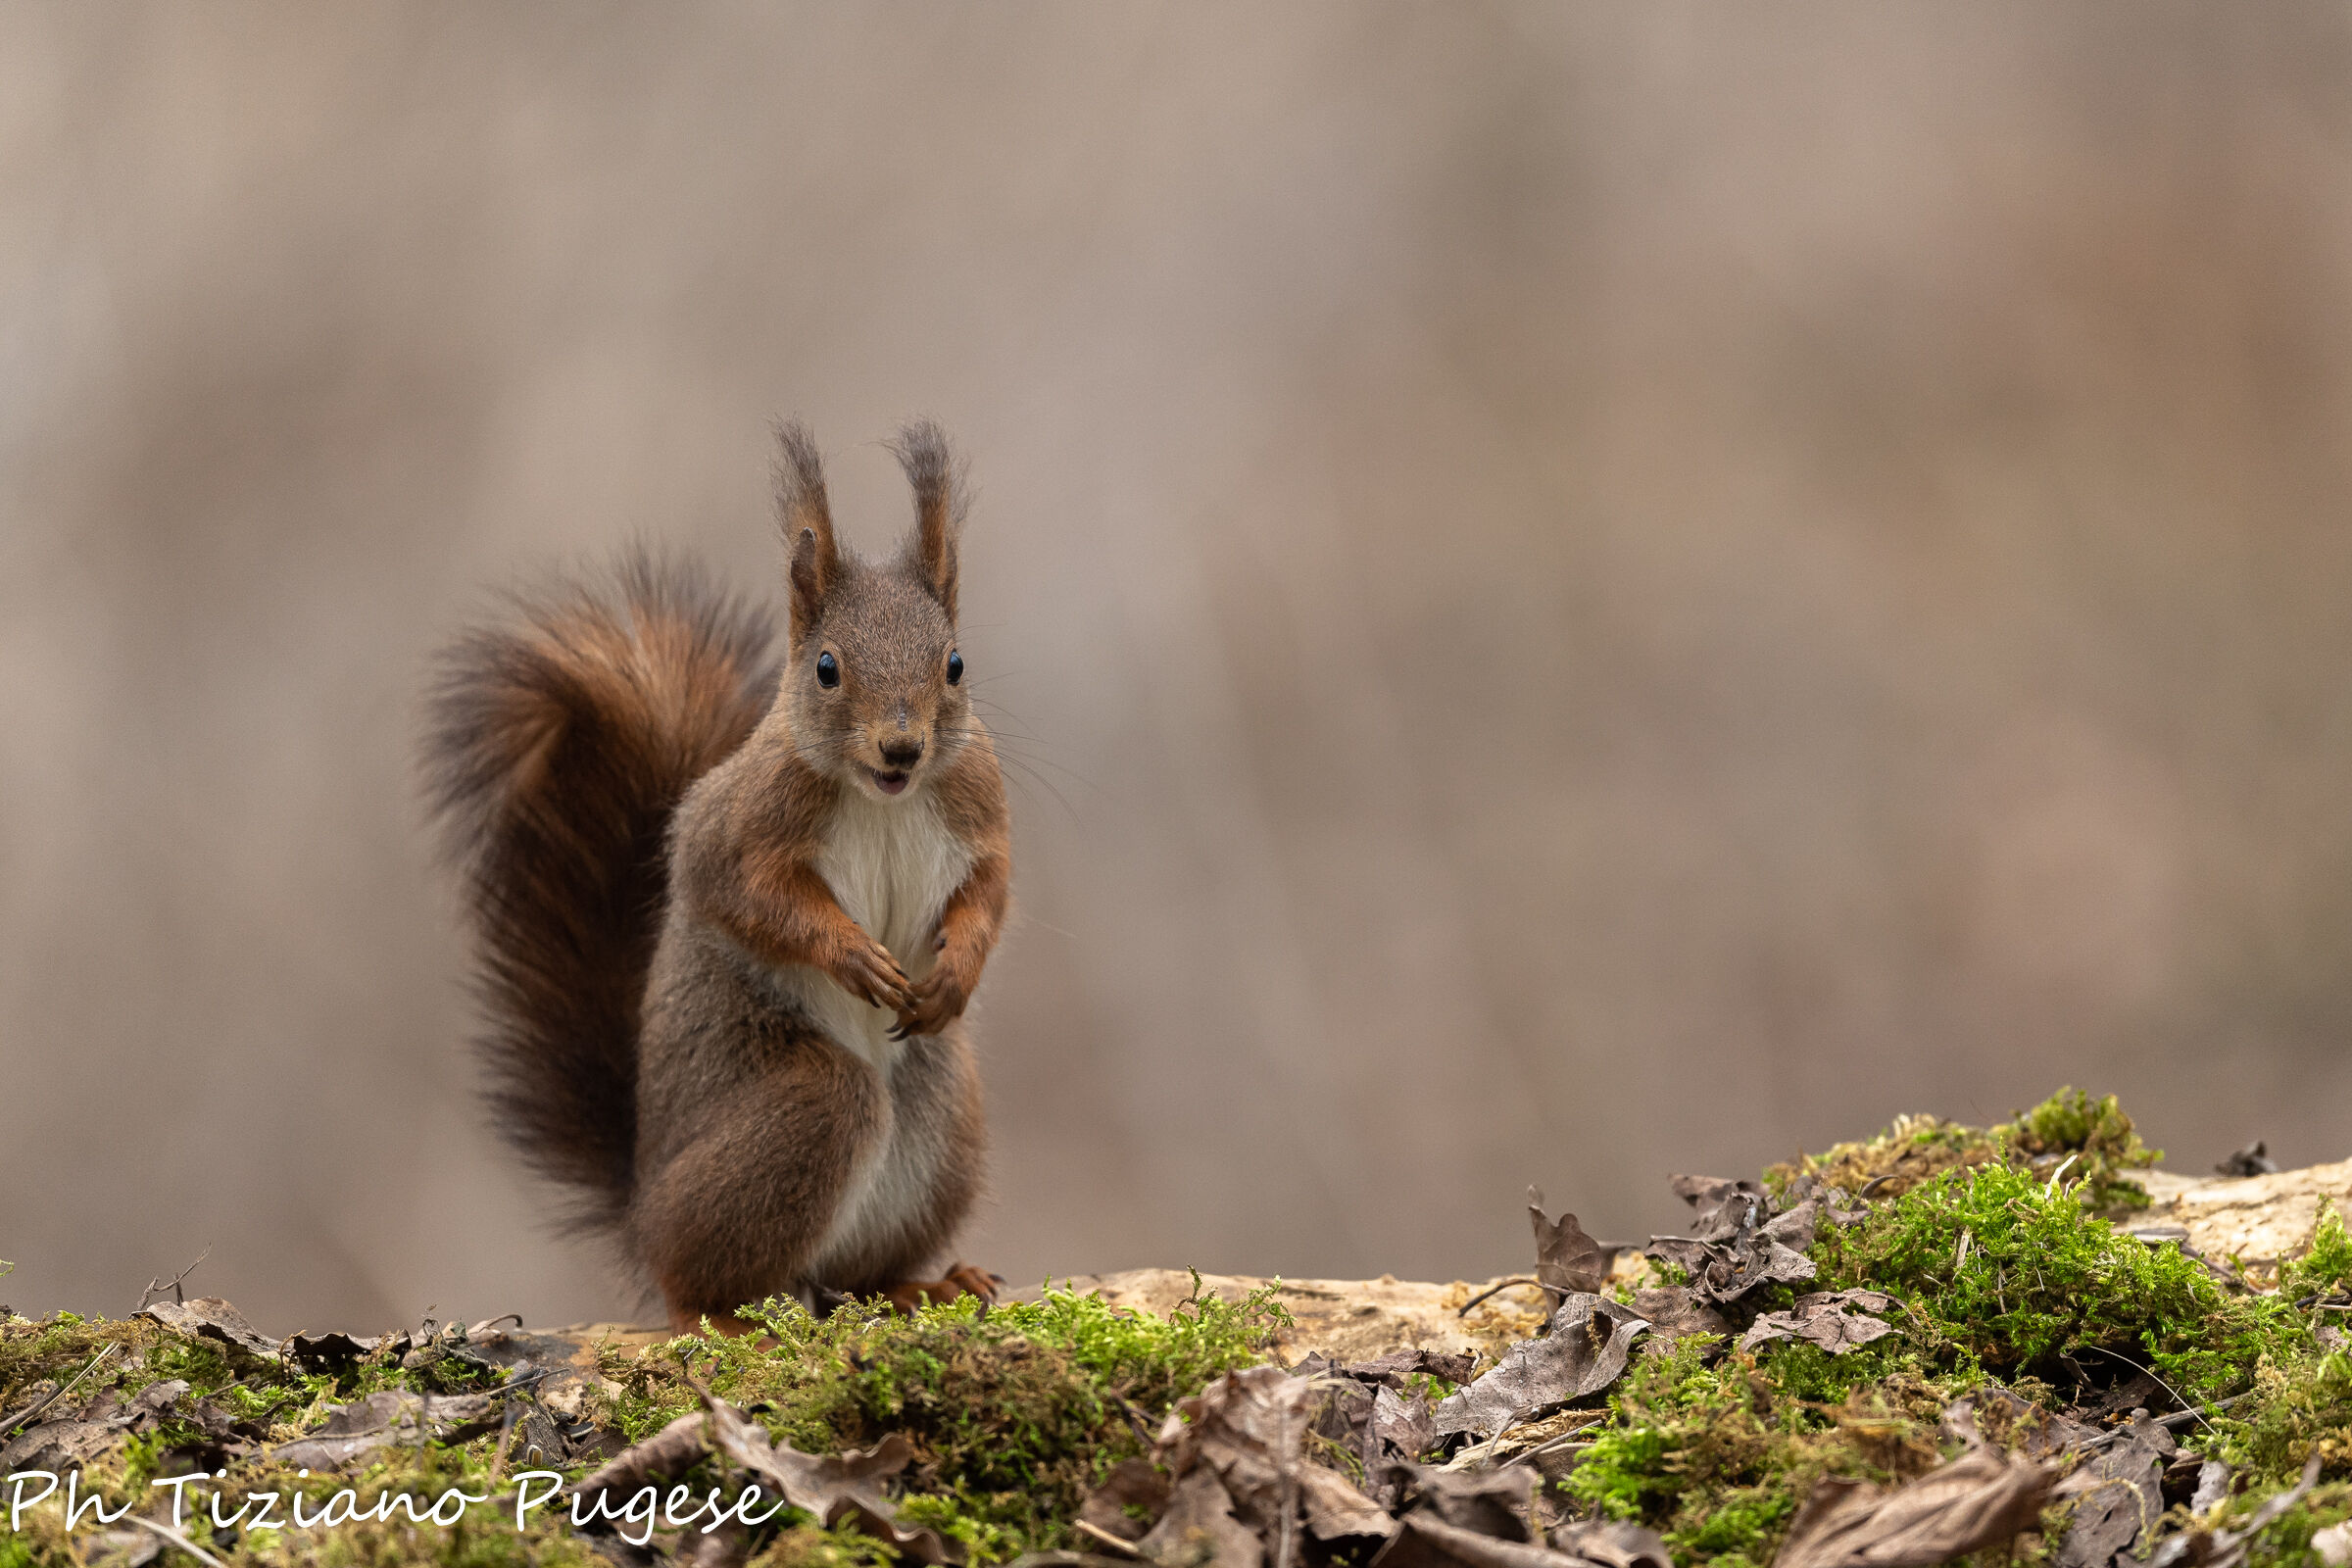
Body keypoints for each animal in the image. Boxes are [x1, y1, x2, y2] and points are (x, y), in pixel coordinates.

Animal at [426, 420, 1010, 1332]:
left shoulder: (979, 812)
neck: (882, 797)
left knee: (856, 1271)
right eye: (827, 668)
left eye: (954, 664)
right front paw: (852, 955)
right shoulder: (736, 831)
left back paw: (920, 1284)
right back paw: (729, 1317)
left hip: (943, 1121)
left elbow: (991, 891)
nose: (902, 748)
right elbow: (750, 899)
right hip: (800, 1116)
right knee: (700, 1275)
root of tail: (643, 1209)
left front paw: (957, 972)